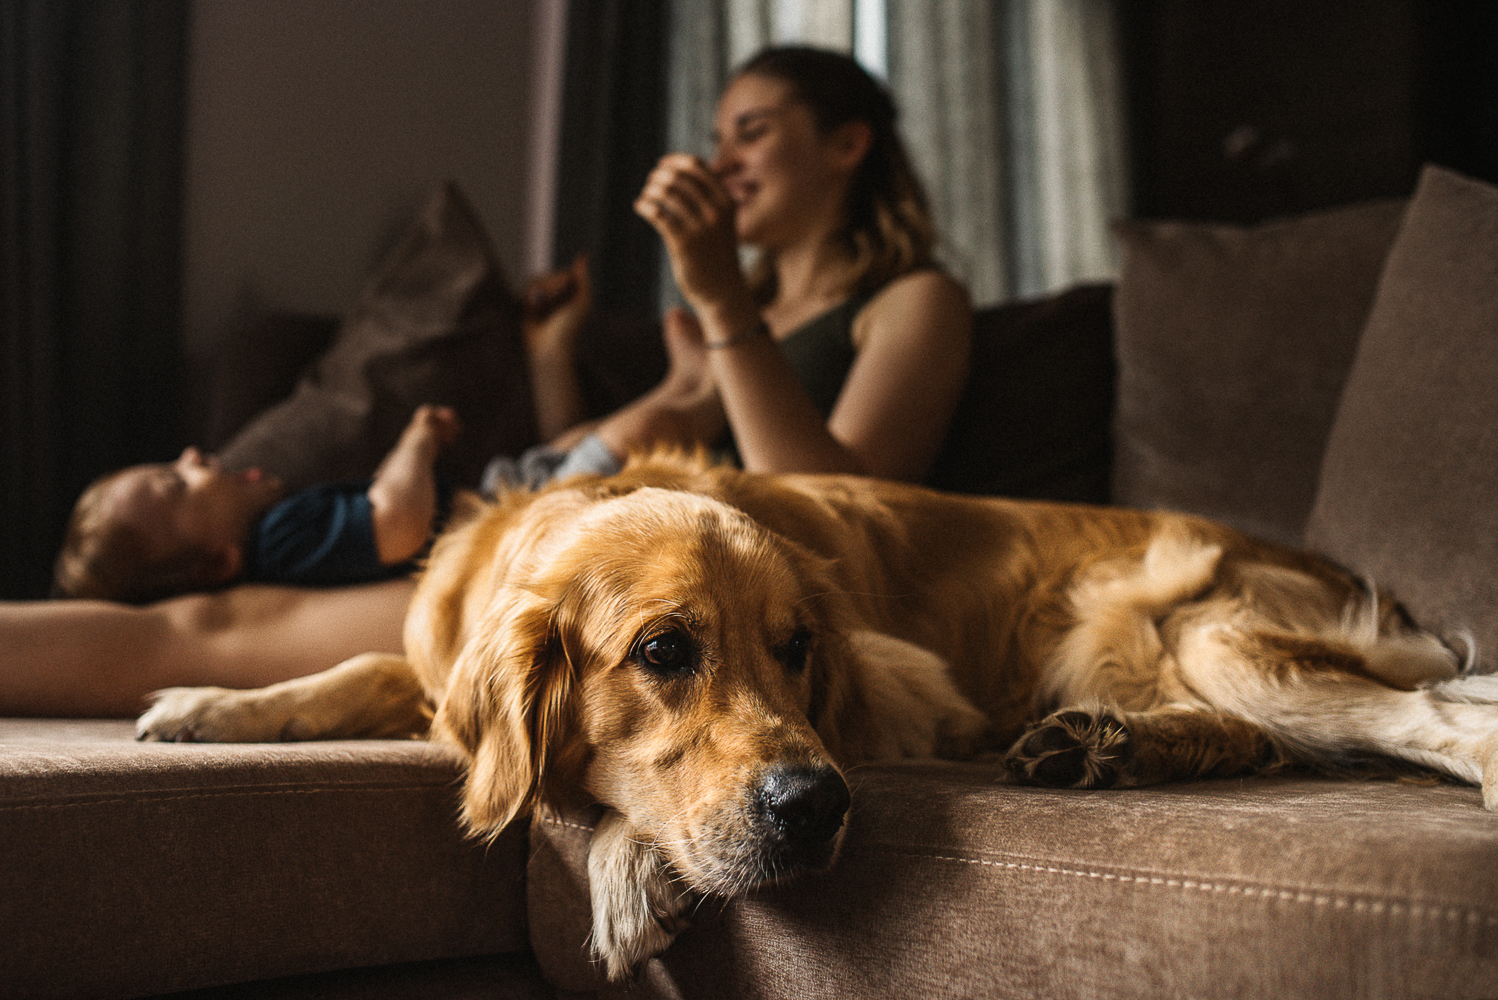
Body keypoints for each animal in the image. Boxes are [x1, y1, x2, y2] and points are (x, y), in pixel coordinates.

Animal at [137, 452, 1498, 976]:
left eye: (797, 649)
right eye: (663, 651)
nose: (815, 808)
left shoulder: (899, 689)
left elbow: (598, 793)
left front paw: (622, 870)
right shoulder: (438, 662)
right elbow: (368, 673)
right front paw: (209, 702)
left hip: (1212, 629)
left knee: (1422, 719)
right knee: (1255, 737)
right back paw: (1099, 744)